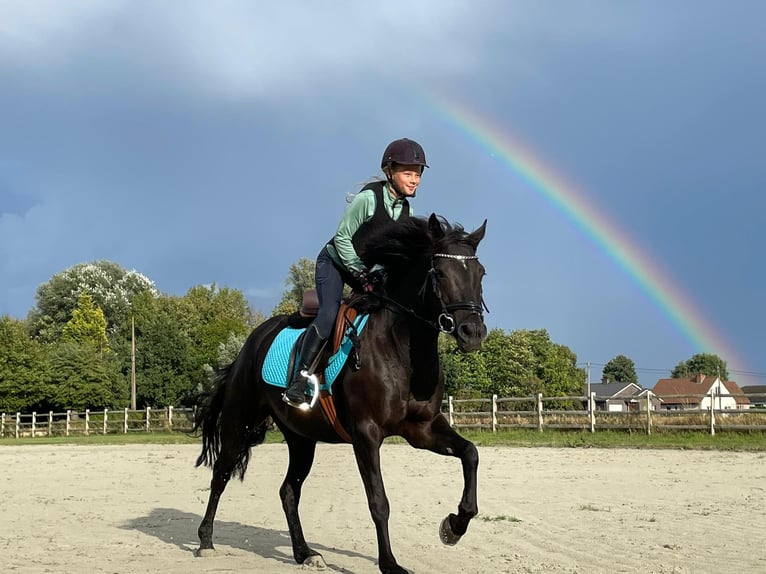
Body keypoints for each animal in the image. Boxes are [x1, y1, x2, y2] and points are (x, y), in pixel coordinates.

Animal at [193, 213, 488, 574]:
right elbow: (379, 501)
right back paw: (206, 541)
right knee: (220, 474)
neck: (401, 349)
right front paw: (390, 564)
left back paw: (304, 553)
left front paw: (453, 526)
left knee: (288, 491)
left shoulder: (423, 429)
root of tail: (252, 340)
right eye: (440, 273)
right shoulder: (366, 434)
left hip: (301, 438)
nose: (472, 333)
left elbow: (470, 454)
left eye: (480, 273)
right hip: (240, 422)